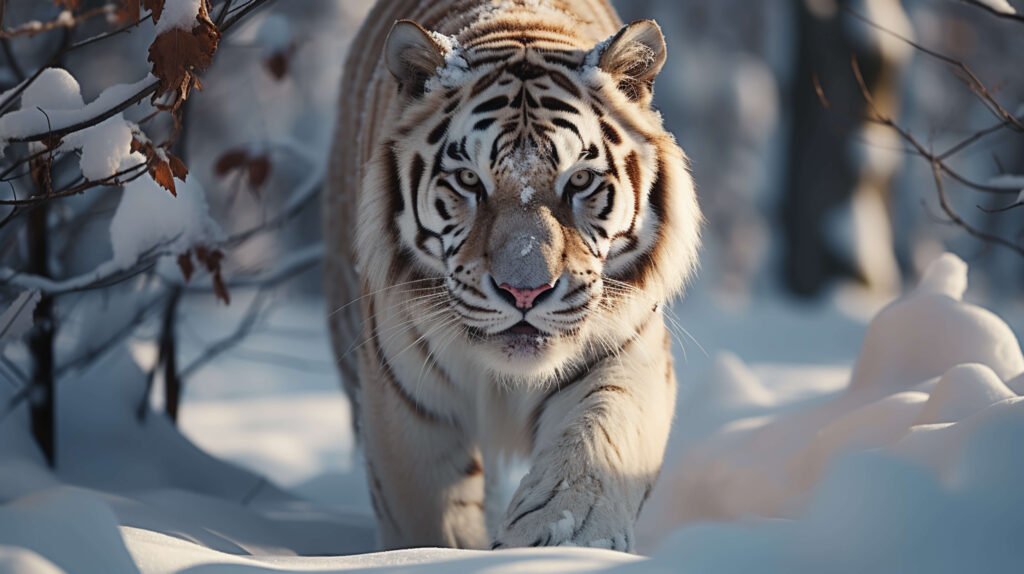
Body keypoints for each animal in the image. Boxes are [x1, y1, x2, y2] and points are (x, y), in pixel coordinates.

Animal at [324, 0, 701, 552]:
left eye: (580, 180)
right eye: (468, 180)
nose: (526, 291)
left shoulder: (626, 347)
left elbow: (597, 444)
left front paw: (561, 542)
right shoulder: (406, 401)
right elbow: (429, 514)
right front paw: (442, 557)